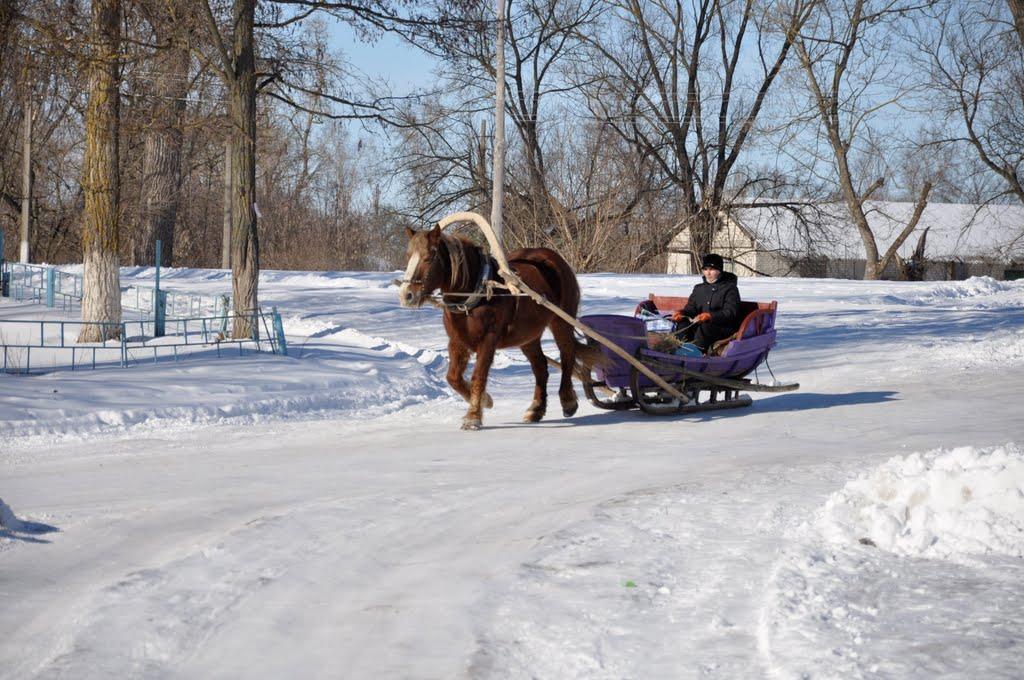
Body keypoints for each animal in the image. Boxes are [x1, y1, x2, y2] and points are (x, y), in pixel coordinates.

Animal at [397, 227, 598, 430]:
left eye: (429, 257)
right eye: (408, 256)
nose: (407, 295)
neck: (474, 294)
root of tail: (553, 258)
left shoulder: (488, 340)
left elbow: (479, 376)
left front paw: (473, 416)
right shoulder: (457, 341)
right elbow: (453, 378)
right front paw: (485, 400)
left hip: (561, 321)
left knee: (567, 355)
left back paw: (568, 400)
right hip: (527, 336)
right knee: (541, 367)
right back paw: (536, 409)